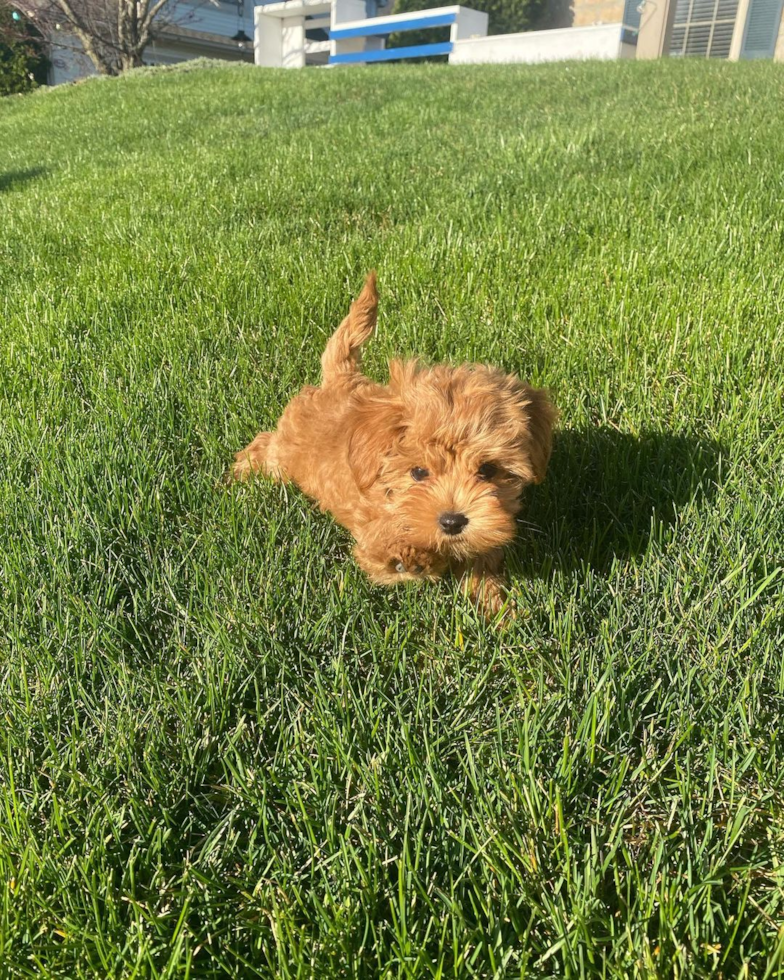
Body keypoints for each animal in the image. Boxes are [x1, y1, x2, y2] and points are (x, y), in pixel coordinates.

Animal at [230, 272, 556, 616]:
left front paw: (496, 609)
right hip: (286, 451)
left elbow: (482, 562)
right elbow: (385, 545)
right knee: (266, 446)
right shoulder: (372, 534)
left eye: (488, 470)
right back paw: (241, 470)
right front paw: (410, 556)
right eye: (418, 472)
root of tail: (340, 379)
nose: (452, 521)